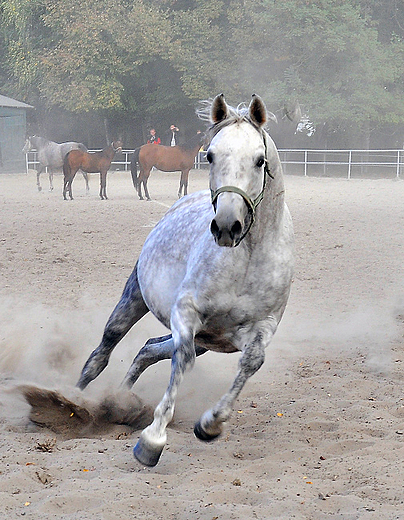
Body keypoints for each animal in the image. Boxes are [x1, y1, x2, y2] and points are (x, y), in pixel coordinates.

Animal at [77, 94, 296, 468]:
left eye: (259, 160)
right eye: (210, 155)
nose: (226, 226)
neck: (248, 257)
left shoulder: (259, 328)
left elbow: (252, 362)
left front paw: (210, 425)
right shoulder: (186, 313)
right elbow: (183, 360)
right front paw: (152, 440)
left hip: (206, 340)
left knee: (148, 349)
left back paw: (121, 400)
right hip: (134, 299)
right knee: (103, 352)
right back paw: (74, 397)